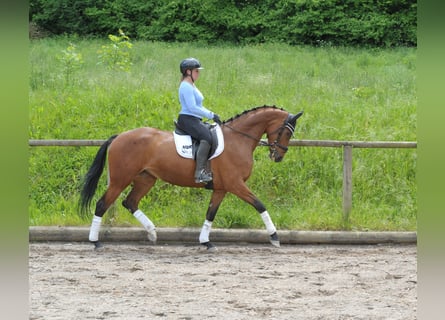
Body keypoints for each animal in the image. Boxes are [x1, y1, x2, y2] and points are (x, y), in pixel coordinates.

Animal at [79, 105, 302, 250]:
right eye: (286, 133)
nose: (278, 156)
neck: (238, 139)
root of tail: (118, 137)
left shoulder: (221, 188)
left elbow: (210, 214)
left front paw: (206, 241)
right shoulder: (235, 184)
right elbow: (260, 205)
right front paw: (274, 237)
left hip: (146, 179)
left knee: (130, 202)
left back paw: (152, 232)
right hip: (120, 180)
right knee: (102, 204)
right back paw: (95, 241)